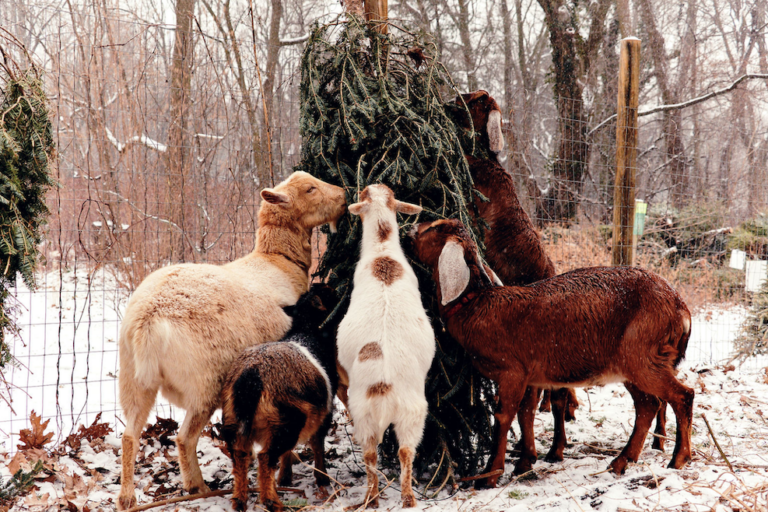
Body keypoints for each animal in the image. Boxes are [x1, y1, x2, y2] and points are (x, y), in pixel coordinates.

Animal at [220, 284, 341, 512]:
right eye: (327, 291)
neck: (305, 330)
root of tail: (251, 375)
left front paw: (285, 478)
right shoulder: (326, 410)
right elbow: (318, 443)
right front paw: (323, 479)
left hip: (233, 419)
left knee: (240, 456)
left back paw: (239, 500)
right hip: (286, 422)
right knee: (265, 457)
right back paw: (272, 502)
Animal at [337, 184, 435, 508]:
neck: (382, 251)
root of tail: (383, 385)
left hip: (369, 415)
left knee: (376, 453)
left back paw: (380, 498)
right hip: (406, 413)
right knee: (399, 451)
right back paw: (401, 498)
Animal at [410, 219, 693, 488]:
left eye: (435, 227)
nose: (411, 228)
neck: (477, 307)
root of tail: (681, 308)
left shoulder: (512, 370)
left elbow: (503, 416)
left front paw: (489, 476)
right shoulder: (530, 375)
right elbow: (526, 414)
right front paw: (525, 462)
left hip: (641, 357)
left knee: (682, 396)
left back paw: (678, 459)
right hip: (631, 365)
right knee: (648, 405)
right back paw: (621, 462)